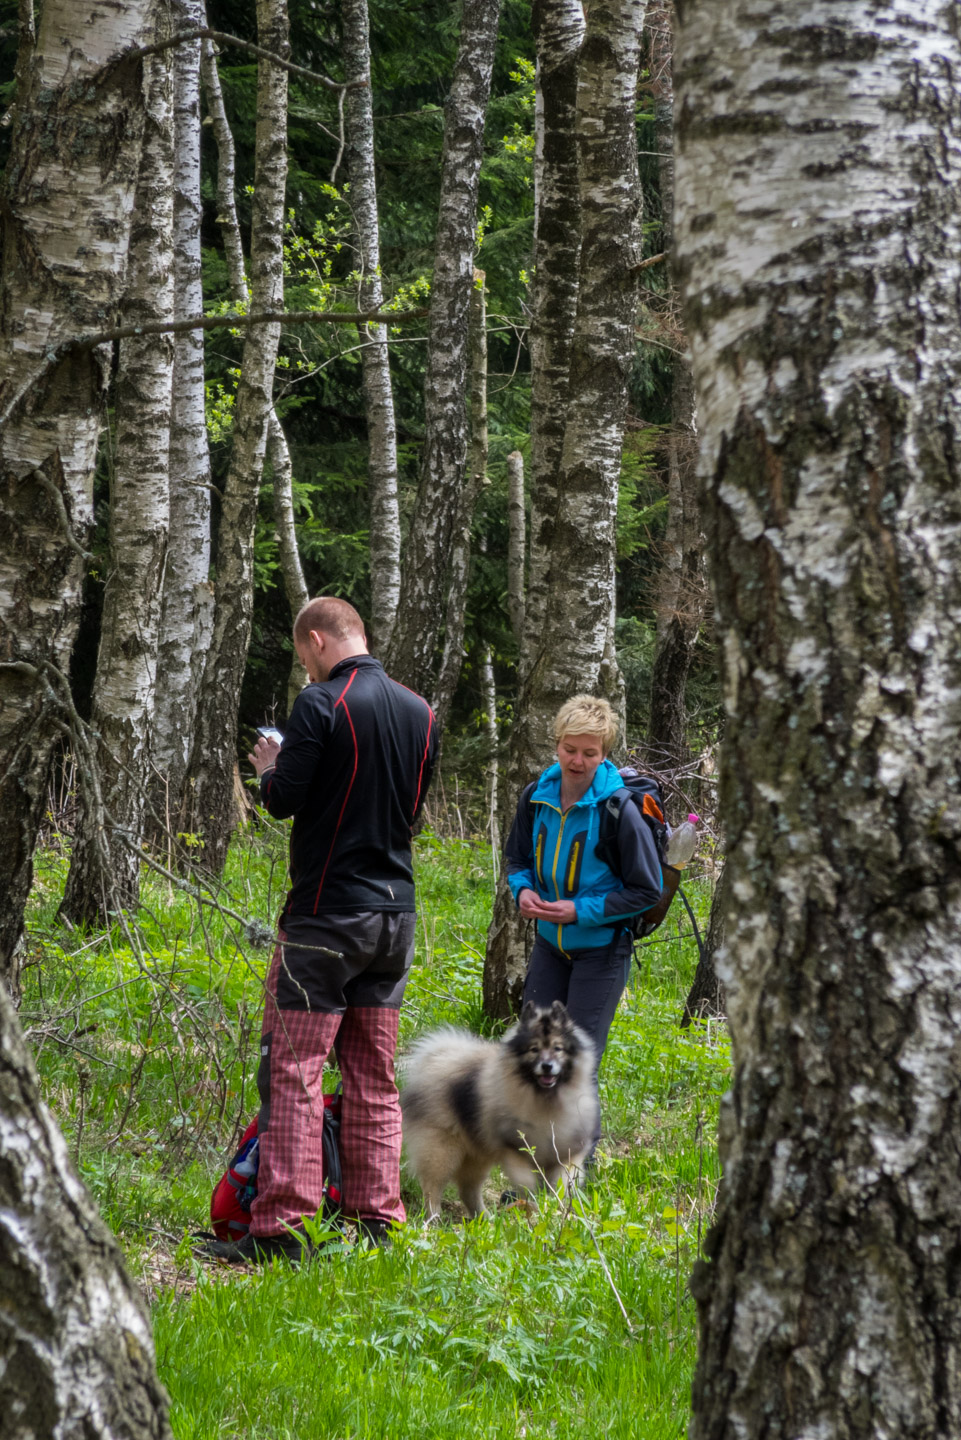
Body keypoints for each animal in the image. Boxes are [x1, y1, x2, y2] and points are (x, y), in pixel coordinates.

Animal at [397, 996, 593, 1221]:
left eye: (557, 1048)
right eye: (534, 1049)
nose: (547, 1066)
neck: (545, 1099)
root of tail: (437, 1060)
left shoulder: (568, 1155)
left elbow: (562, 1185)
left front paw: (555, 1209)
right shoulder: (516, 1151)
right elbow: (528, 1183)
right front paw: (533, 1206)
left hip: (476, 1155)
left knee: (468, 1189)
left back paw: (484, 1219)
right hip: (442, 1149)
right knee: (433, 1187)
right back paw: (434, 1218)